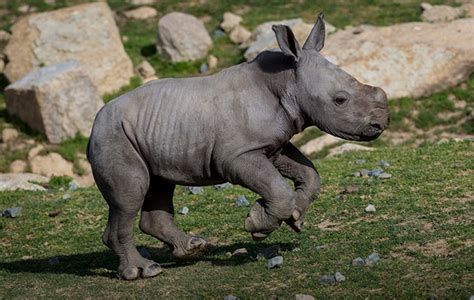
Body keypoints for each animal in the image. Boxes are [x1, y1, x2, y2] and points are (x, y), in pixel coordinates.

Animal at [88, 12, 388, 280]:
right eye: (340, 100)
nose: (381, 123)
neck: (286, 82)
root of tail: (95, 122)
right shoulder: (237, 156)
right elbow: (276, 186)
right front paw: (257, 225)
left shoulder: (274, 144)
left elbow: (309, 174)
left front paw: (295, 218)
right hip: (113, 136)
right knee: (130, 196)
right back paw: (143, 271)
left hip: (146, 132)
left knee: (159, 185)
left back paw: (193, 249)